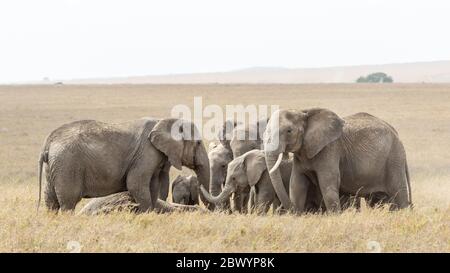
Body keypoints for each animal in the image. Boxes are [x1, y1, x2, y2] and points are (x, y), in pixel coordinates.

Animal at [37, 116, 212, 210]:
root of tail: (48, 142)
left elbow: (153, 187)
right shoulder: (146, 153)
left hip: (54, 165)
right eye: (198, 143)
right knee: (68, 201)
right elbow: (136, 184)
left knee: (50, 201)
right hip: (67, 164)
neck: (163, 121)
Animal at [264, 109, 414, 212]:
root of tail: (397, 135)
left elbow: (327, 183)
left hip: (394, 159)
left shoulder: (330, 149)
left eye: (289, 131)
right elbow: (296, 184)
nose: (290, 210)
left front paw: (335, 217)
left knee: (399, 194)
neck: (303, 112)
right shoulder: (301, 155)